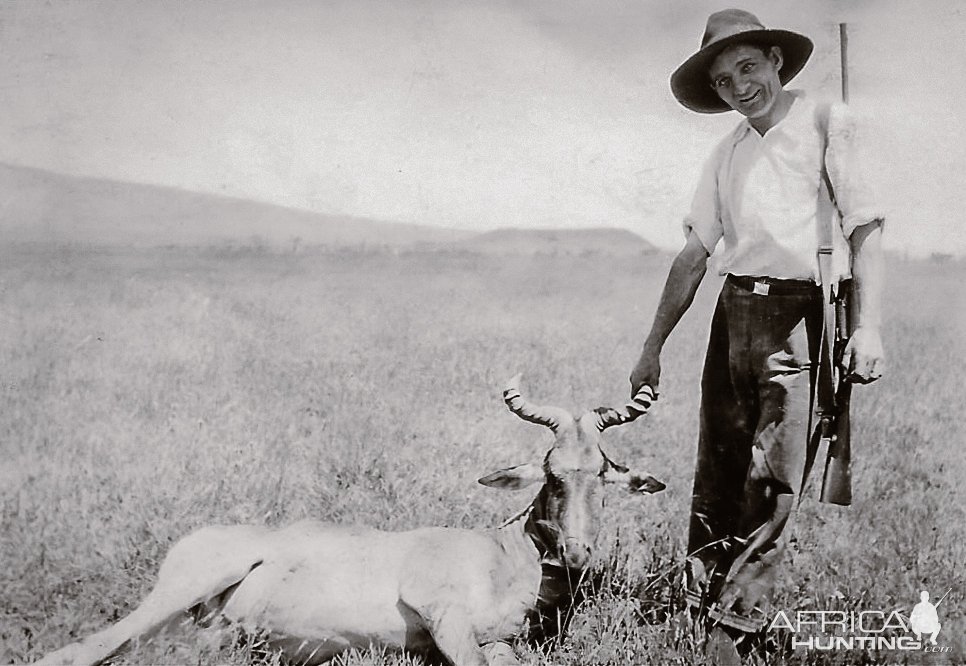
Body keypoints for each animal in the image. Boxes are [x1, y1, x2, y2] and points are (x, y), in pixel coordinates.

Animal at [39, 374, 672, 664]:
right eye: (551, 473)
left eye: (602, 472)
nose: (576, 554)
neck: (501, 554)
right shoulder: (439, 613)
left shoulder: (494, 642)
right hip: (187, 585)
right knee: (81, 649)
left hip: (209, 634)